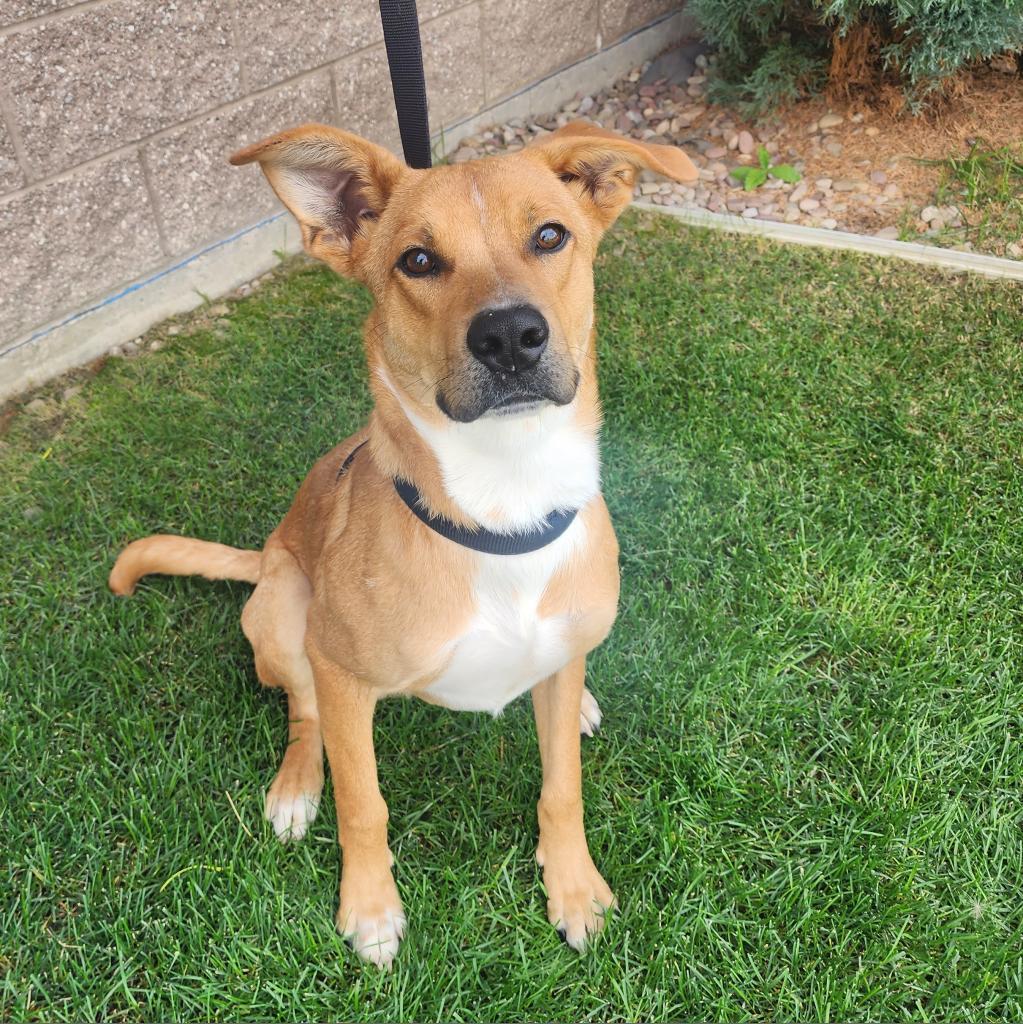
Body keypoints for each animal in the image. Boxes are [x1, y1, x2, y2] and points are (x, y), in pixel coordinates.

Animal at [112, 121, 700, 966]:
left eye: (550, 235)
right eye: (417, 260)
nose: (510, 336)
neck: (505, 504)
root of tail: (267, 549)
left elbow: (562, 788)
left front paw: (574, 887)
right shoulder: (343, 674)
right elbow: (365, 803)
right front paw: (368, 908)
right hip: (285, 609)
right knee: (303, 714)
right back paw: (295, 789)